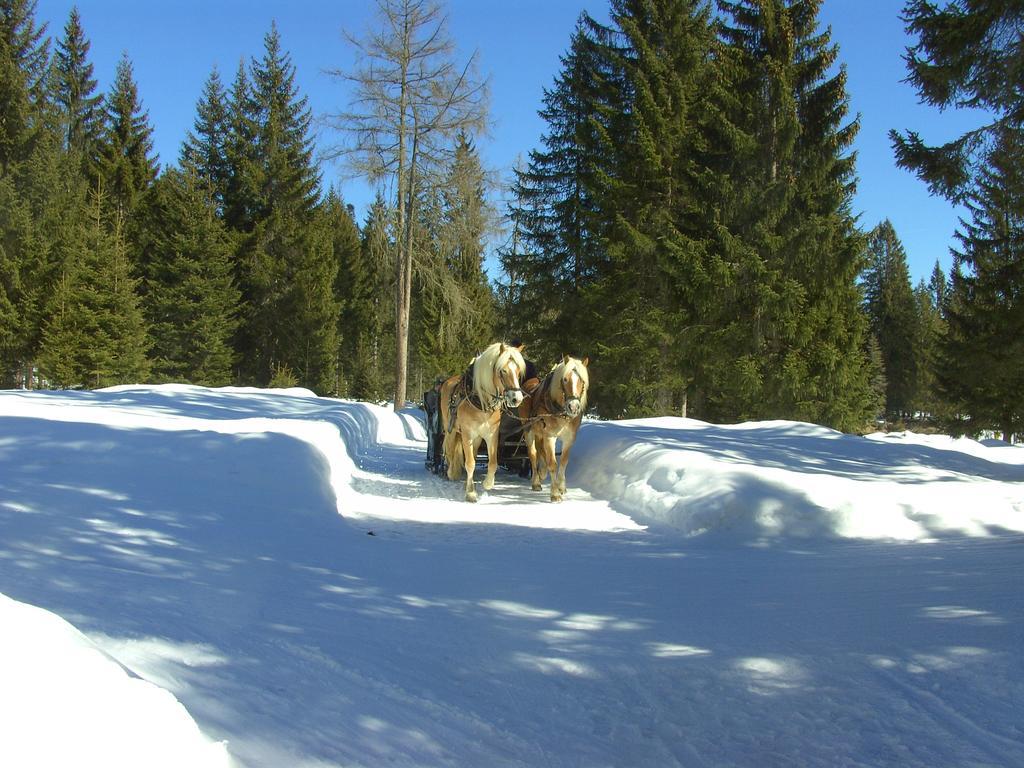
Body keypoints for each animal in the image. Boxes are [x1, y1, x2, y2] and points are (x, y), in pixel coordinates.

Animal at [438, 344, 524, 505]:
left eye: (518, 371)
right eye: (503, 371)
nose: (517, 399)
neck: (481, 402)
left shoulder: (491, 435)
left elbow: (492, 462)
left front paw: (487, 483)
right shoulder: (467, 434)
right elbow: (470, 463)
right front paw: (471, 494)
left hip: (477, 438)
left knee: (472, 455)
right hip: (451, 429)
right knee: (450, 452)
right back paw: (451, 472)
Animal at [516, 356, 589, 501]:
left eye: (582, 380)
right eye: (565, 379)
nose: (573, 407)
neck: (561, 412)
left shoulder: (569, 439)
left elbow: (563, 462)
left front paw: (561, 487)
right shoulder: (550, 437)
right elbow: (553, 463)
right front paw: (555, 493)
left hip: (539, 432)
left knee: (540, 451)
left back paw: (542, 472)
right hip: (528, 431)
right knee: (533, 454)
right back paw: (536, 482)